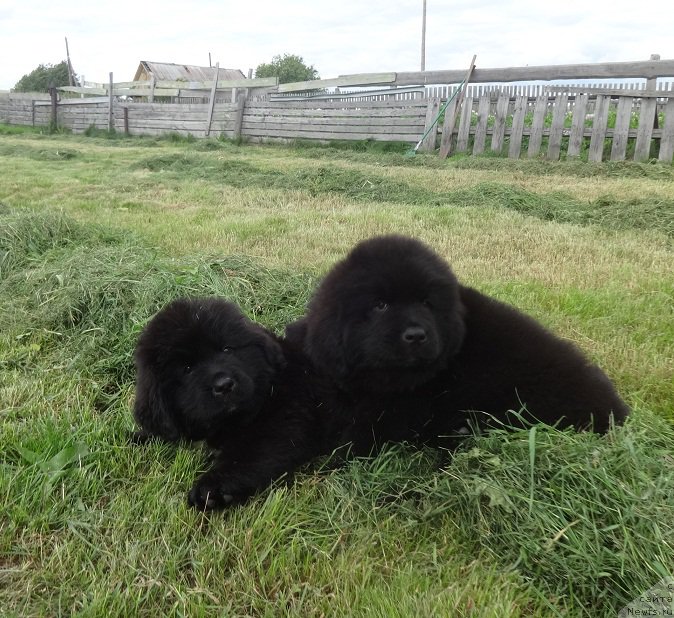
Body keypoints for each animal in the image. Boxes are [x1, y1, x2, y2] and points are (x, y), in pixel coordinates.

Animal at [134, 296, 322, 508]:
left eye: (227, 349)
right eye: (187, 368)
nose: (224, 385)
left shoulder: (286, 420)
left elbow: (249, 453)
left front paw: (212, 488)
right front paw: (138, 437)